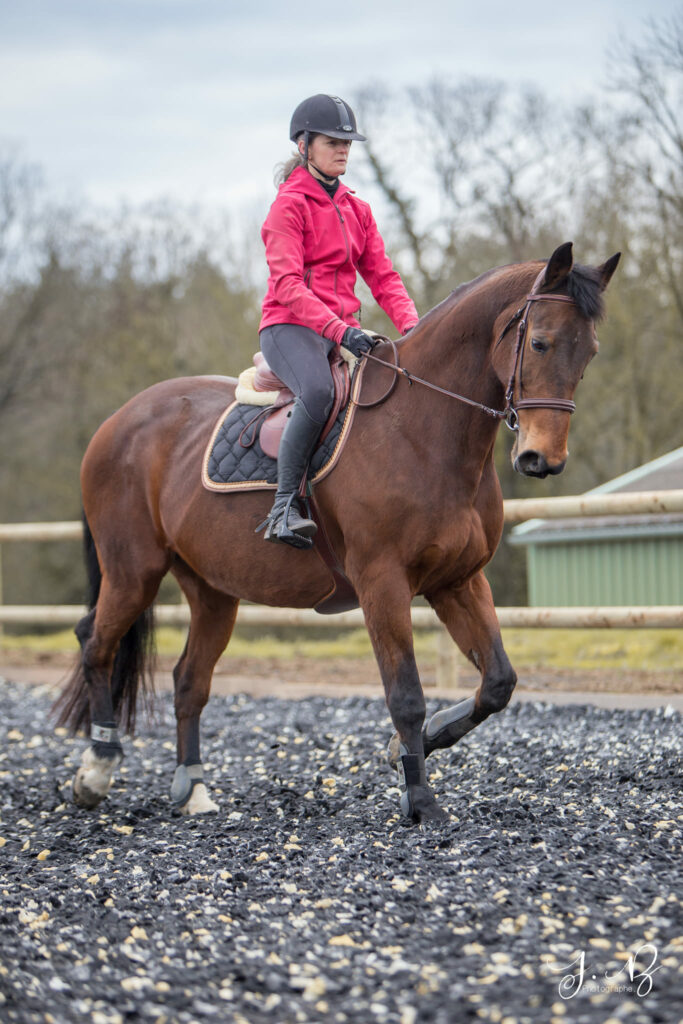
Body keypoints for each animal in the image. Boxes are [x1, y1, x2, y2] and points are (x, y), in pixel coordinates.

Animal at [55, 242, 620, 824]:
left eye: (590, 353)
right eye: (539, 342)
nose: (542, 459)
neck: (423, 428)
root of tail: (118, 422)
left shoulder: (457, 581)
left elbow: (498, 683)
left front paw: (409, 751)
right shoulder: (382, 583)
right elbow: (406, 694)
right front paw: (420, 799)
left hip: (211, 591)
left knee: (188, 680)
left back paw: (192, 789)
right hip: (134, 571)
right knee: (95, 644)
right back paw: (96, 770)